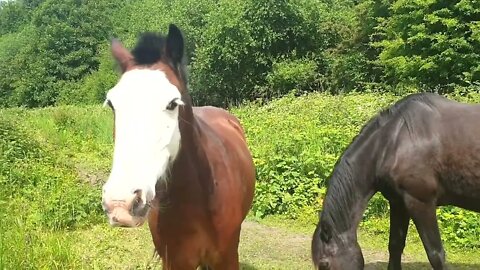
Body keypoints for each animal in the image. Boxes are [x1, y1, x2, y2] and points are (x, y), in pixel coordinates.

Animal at [314, 93, 480, 270]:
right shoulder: (398, 203)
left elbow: (436, 254)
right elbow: (395, 245)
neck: (394, 142)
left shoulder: (422, 203)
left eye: (324, 264)